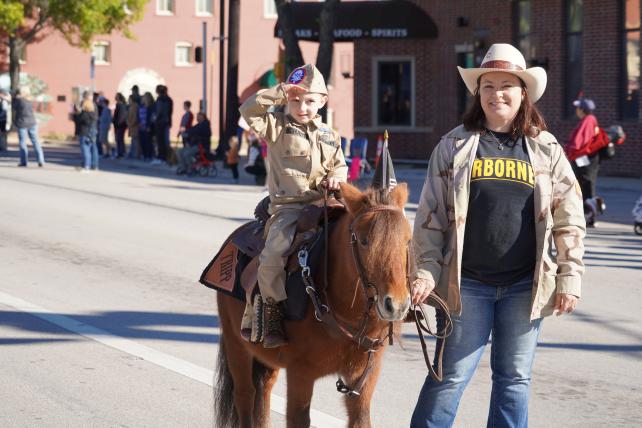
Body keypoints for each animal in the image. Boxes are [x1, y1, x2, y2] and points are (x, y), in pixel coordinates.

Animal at [215, 182, 412, 426]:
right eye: (364, 240)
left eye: (408, 240)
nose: (397, 305)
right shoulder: (300, 373)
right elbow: (298, 418)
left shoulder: (363, 379)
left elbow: (360, 418)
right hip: (236, 344)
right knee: (245, 394)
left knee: (263, 389)